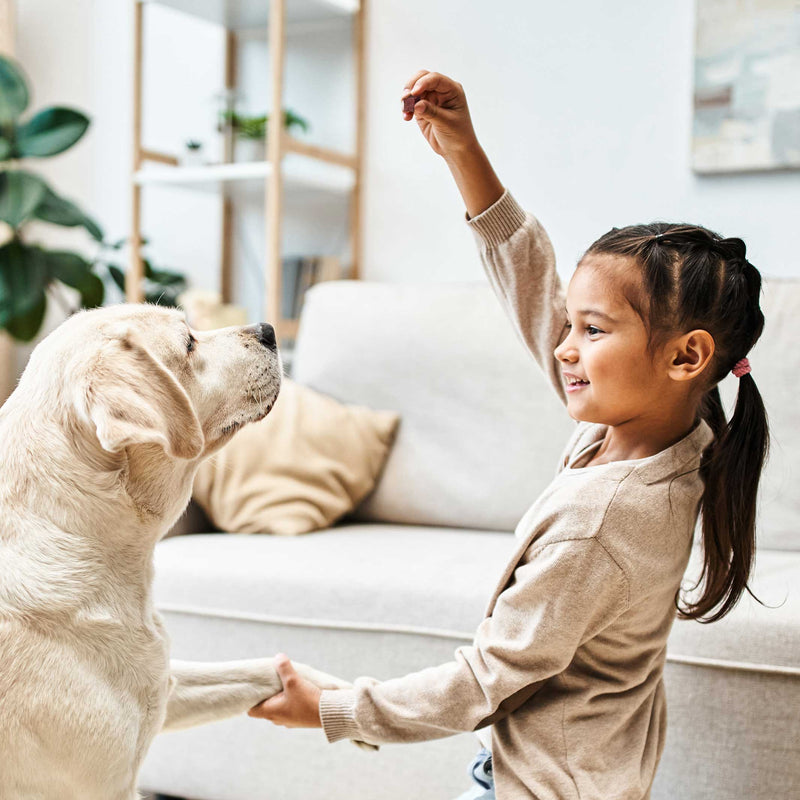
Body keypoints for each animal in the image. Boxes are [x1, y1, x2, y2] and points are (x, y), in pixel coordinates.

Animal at [0, 304, 362, 800]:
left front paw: (350, 697)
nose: (268, 330)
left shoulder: (163, 685)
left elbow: (259, 668)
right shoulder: (105, 785)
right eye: (188, 343)